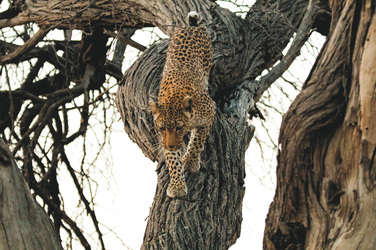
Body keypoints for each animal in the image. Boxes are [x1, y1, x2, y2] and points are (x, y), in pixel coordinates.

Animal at [149, 11, 216, 198]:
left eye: (179, 128)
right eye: (162, 128)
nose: (171, 145)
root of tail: (190, 27)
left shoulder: (210, 111)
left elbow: (197, 142)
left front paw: (190, 161)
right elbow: (173, 161)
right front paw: (177, 185)